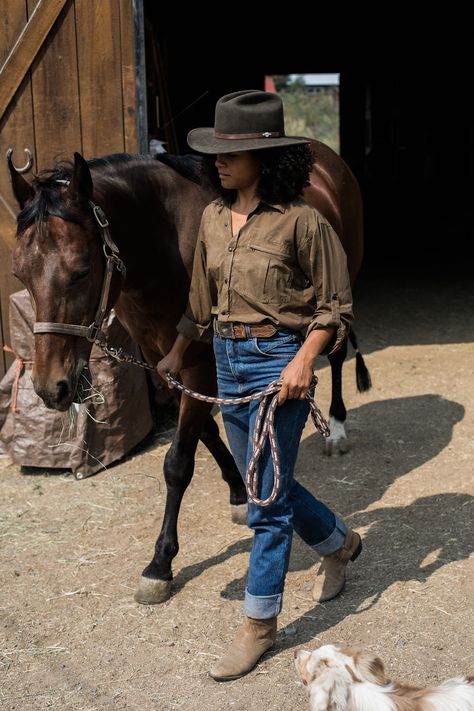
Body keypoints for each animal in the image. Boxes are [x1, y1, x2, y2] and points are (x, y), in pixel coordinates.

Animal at [8, 146, 366, 608]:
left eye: (82, 269)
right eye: (21, 273)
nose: (51, 388)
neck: (166, 245)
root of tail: (325, 157)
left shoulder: (198, 366)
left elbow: (177, 463)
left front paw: (160, 564)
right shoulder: (165, 365)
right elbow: (208, 433)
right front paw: (239, 491)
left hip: (339, 288)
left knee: (336, 355)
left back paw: (336, 431)